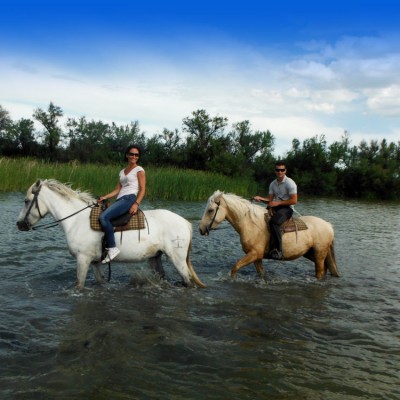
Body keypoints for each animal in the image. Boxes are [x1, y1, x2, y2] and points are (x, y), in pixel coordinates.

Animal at [16, 180, 206, 290]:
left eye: (26, 201)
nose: (19, 224)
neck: (77, 220)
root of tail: (185, 223)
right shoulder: (95, 263)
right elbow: (99, 282)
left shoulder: (83, 260)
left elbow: (79, 285)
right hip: (155, 258)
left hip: (178, 259)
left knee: (188, 282)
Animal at [198, 190, 340, 278]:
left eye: (210, 210)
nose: (201, 229)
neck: (250, 224)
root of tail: (328, 225)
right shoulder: (257, 257)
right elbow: (261, 273)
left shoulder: (254, 254)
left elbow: (235, 267)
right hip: (311, 253)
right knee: (325, 267)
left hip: (319, 253)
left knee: (320, 271)